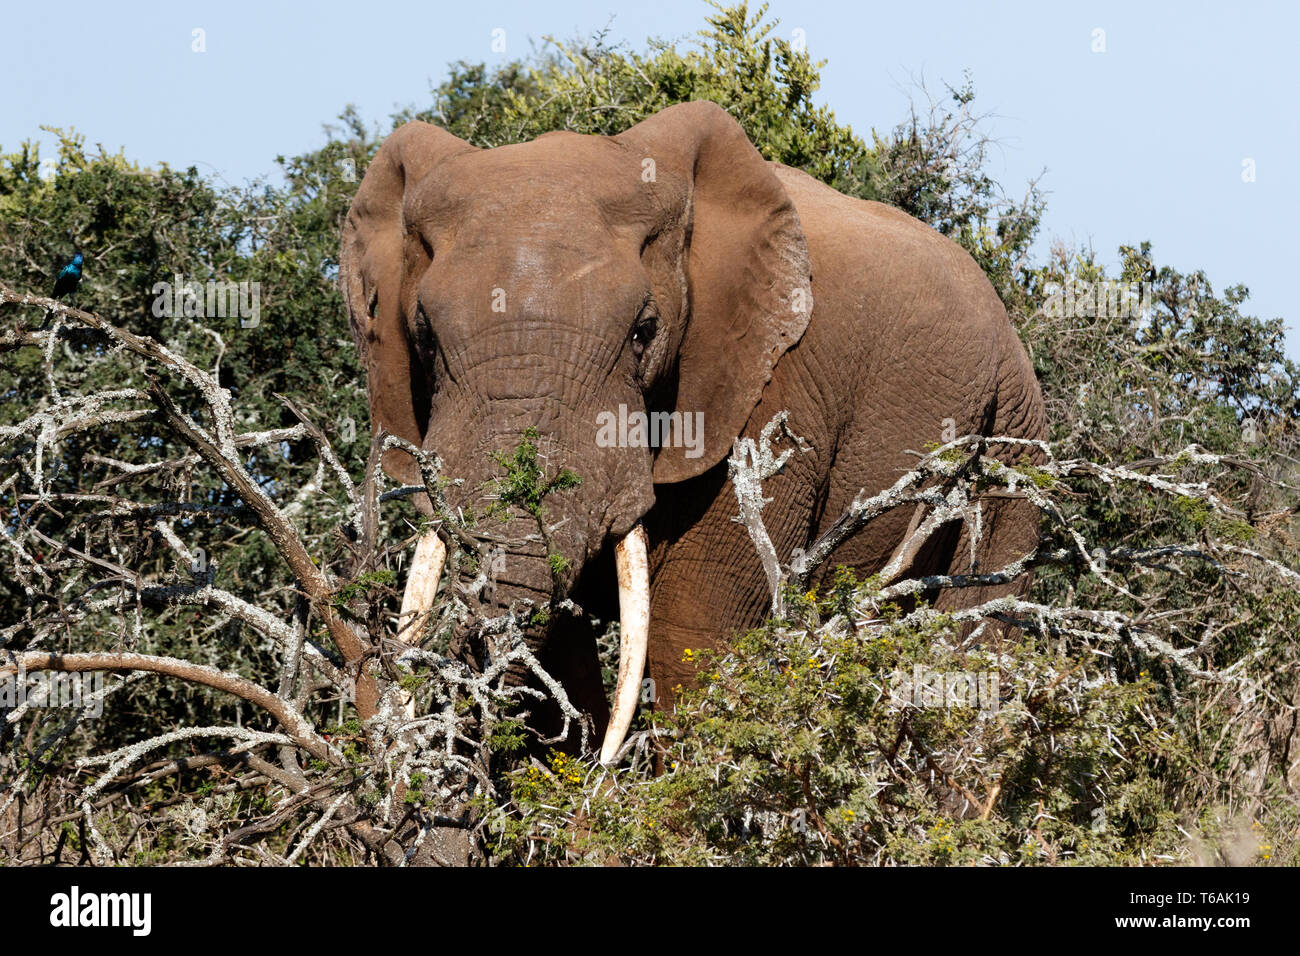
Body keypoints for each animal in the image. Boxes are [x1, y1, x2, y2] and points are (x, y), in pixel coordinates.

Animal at [338, 100, 1045, 764]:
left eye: (643, 332)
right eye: (425, 337)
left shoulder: (770, 385)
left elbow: (695, 628)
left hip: (1011, 433)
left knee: (972, 651)